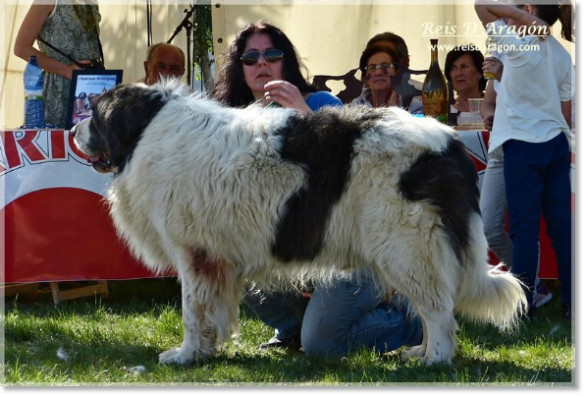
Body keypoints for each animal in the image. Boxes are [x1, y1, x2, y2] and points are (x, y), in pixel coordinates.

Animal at [73, 80, 524, 366]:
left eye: (95, 114)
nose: (75, 129)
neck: (147, 129)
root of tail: (449, 143)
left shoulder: (194, 254)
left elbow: (192, 311)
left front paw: (184, 355)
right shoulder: (218, 259)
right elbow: (211, 312)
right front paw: (205, 352)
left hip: (407, 248)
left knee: (438, 309)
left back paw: (436, 359)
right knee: (432, 307)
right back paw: (420, 352)